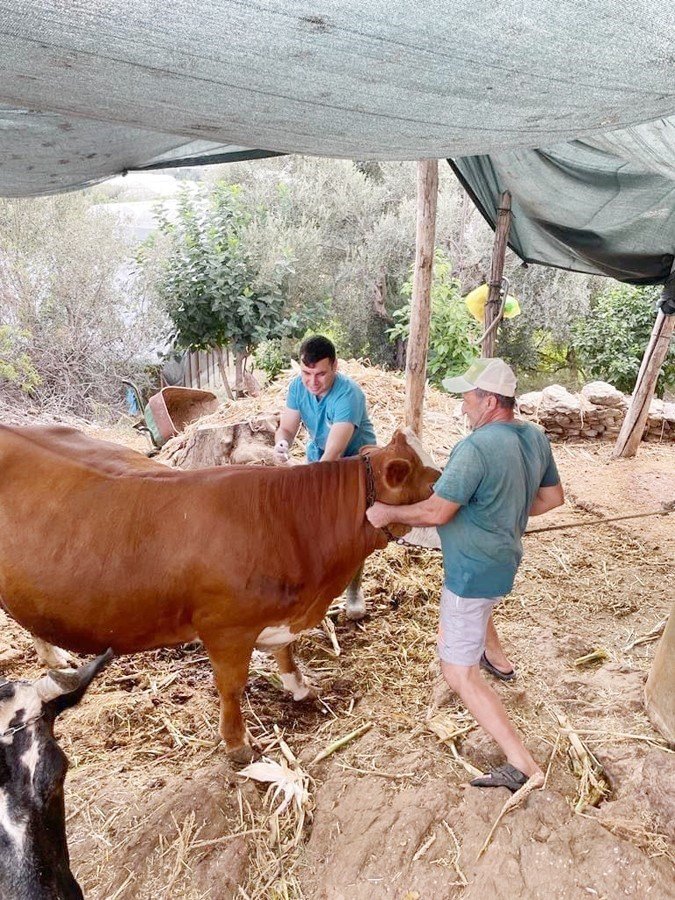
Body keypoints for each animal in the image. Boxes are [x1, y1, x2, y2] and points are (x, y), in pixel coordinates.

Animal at [0, 428, 436, 760]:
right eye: (434, 483)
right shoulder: (227, 629)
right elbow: (232, 687)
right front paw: (237, 743)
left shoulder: (278, 618)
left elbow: (286, 652)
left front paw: (298, 687)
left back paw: (55, 656)